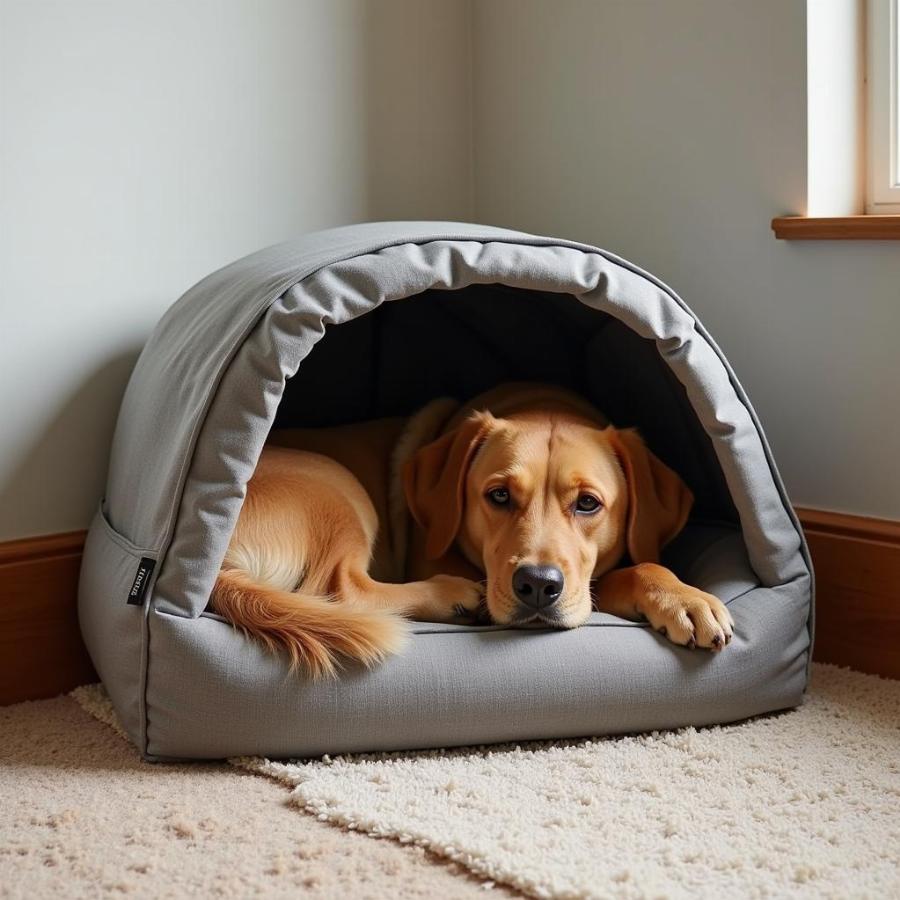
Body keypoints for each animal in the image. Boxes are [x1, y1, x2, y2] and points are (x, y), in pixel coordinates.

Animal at [211, 382, 732, 676]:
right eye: (498, 495)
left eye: (588, 503)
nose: (537, 586)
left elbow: (635, 568)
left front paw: (683, 597)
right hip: (336, 486)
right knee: (342, 587)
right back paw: (453, 595)